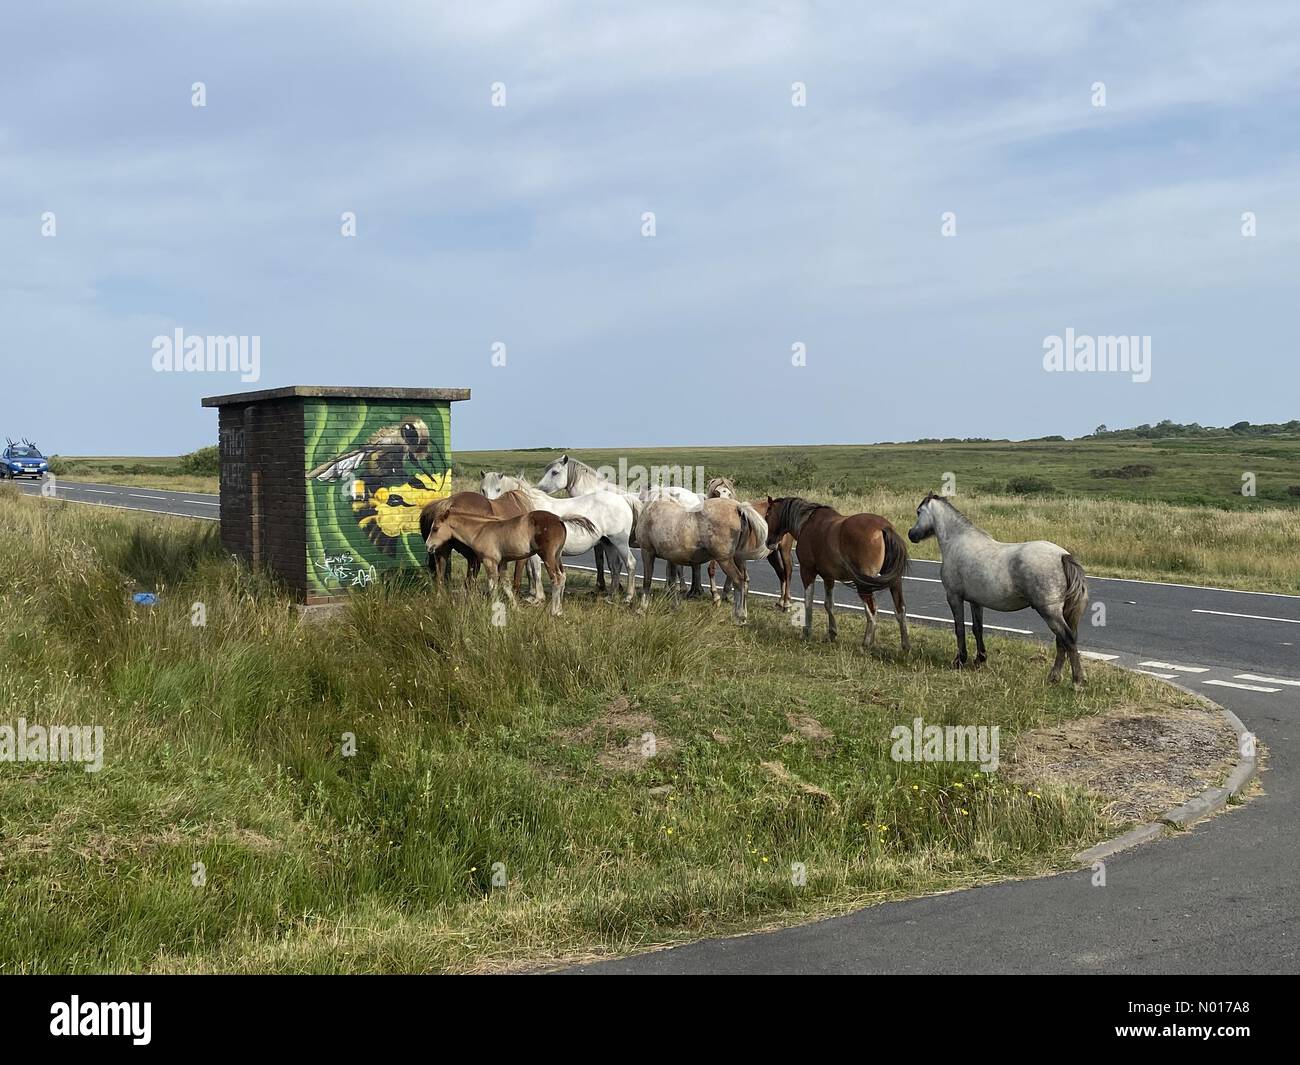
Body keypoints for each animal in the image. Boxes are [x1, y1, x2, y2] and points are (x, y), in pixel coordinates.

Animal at [423, 509, 597, 617]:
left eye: (436, 528)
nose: (428, 546)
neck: (480, 530)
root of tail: (560, 519)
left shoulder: (490, 561)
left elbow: (492, 585)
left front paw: (494, 607)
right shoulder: (503, 563)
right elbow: (506, 584)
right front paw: (516, 608)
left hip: (547, 556)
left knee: (557, 578)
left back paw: (554, 611)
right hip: (557, 556)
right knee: (563, 576)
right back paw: (560, 610)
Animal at [479, 471, 639, 603]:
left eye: (498, 489)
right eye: (483, 489)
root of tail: (623, 499)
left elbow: (536, 571)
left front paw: (538, 597)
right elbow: (530, 571)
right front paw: (532, 595)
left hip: (620, 542)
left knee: (630, 563)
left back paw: (628, 597)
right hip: (608, 543)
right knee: (615, 566)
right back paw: (611, 596)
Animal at [636, 497, 769, 622]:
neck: (651, 509)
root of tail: (737, 507)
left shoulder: (647, 552)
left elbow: (647, 581)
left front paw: (642, 608)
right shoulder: (671, 559)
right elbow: (673, 582)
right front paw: (675, 606)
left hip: (725, 560)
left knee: (738, 580)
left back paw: (739, 616)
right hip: (739, 558)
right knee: (745, 581)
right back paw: (744, 615)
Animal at [764, 497, 911, 651]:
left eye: (767, 515)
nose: (769, 543)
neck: (806, 522)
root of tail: (884, 527)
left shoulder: (807, 571)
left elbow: (808, 601)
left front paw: (807, 631)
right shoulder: (828, 577)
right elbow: (829, 604)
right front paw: (832, 633)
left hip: (864, 583)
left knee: (871, 611)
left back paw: (866, 644)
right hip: (894, 581)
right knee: (900, 609)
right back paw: (905, 645)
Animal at [907, 493, 1088, 687]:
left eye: (919, 512)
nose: (911, 534)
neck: (957, 541)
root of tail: (1063, 555)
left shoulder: (954, 597)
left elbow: (960, 628)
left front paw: (960, 660)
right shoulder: (975, 601)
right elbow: (977, 629)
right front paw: (980, 659)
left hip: (1049, 612)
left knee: (1067, 639)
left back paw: (1076, 681)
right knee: (1062, 642)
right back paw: (1054, 677)